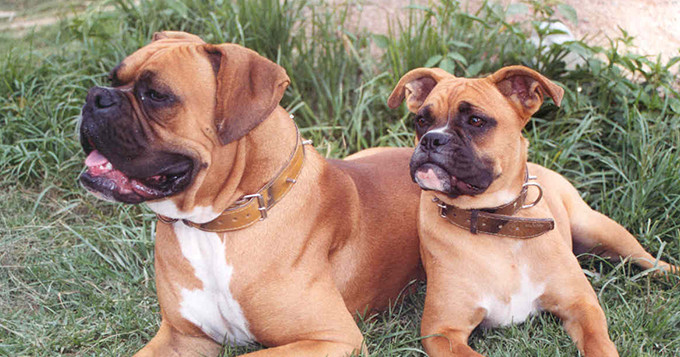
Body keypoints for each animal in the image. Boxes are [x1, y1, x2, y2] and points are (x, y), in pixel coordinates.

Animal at [77, 31, 422, 356]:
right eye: (113, 79)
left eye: (157, 95)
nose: (95, 97)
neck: (217, 224)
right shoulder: (182, 337)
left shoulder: (334, 339)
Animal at [386, 65, 676, 354]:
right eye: (421, 121)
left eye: (476, 121)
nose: (431, 140)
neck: (495, 222)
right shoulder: (443, 333)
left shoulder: (581, 306)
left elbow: (599, 344)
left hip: (601, 230)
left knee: (648, 260)